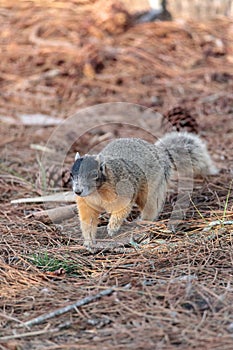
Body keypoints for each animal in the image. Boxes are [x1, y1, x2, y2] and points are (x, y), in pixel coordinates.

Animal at [70, 132, 218, 249]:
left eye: (94, 174)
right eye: (71, 174)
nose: (78, 191)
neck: (96, 192)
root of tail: (161, 154)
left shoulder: (124, 191)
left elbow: (121, 209)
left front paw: (112, 227)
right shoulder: (86, 203)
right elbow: (88, 221)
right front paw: (88, 241)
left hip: (151, 190)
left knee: (151, 208)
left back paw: (142, 221)